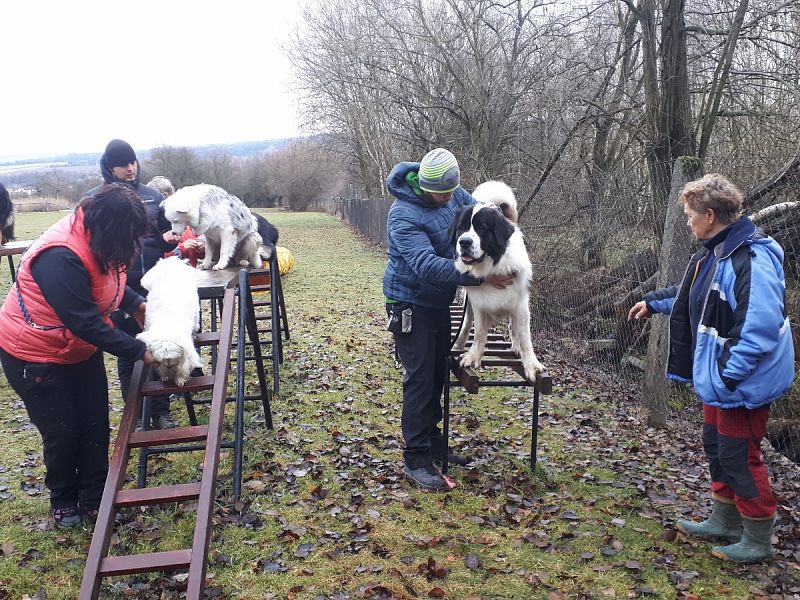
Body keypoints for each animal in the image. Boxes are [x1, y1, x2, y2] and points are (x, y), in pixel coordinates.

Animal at [136, 256, 202, 386]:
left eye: (173, 355)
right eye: (163, 358)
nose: (169, 365)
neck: (167, 324)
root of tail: (169, 266)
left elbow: (184, 365)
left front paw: (180, 379)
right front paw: (165, 376)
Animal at [450, 180, 544, 382]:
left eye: (482, 229)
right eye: (461, 228)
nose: (464, 242)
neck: (493, 265)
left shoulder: (520, 305)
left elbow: (525, 338)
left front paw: (531, 364)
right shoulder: (479, 305)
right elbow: (479, 333)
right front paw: (473, 356)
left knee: (513, 327)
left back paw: (516, 346)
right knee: (467, 323)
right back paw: (459, 343)